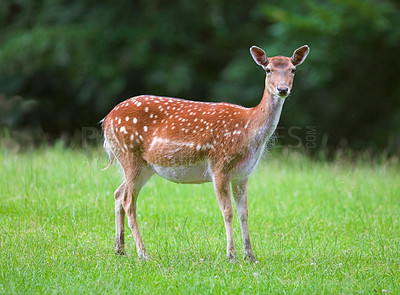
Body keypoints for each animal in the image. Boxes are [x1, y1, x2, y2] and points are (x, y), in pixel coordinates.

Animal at [102, 45, 310, 262]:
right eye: (268, 70)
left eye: (293, 69)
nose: (283, 89)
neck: (248, 128)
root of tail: (106, 120)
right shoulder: (219, 166)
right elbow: (227, 212)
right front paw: (231, 255)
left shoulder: (243, 174)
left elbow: (244, 213)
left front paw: (250, 256)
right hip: (129, 154)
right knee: (128, 201)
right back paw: (143, 253)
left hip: (145, 166)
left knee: (118, 193)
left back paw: (120, 249)